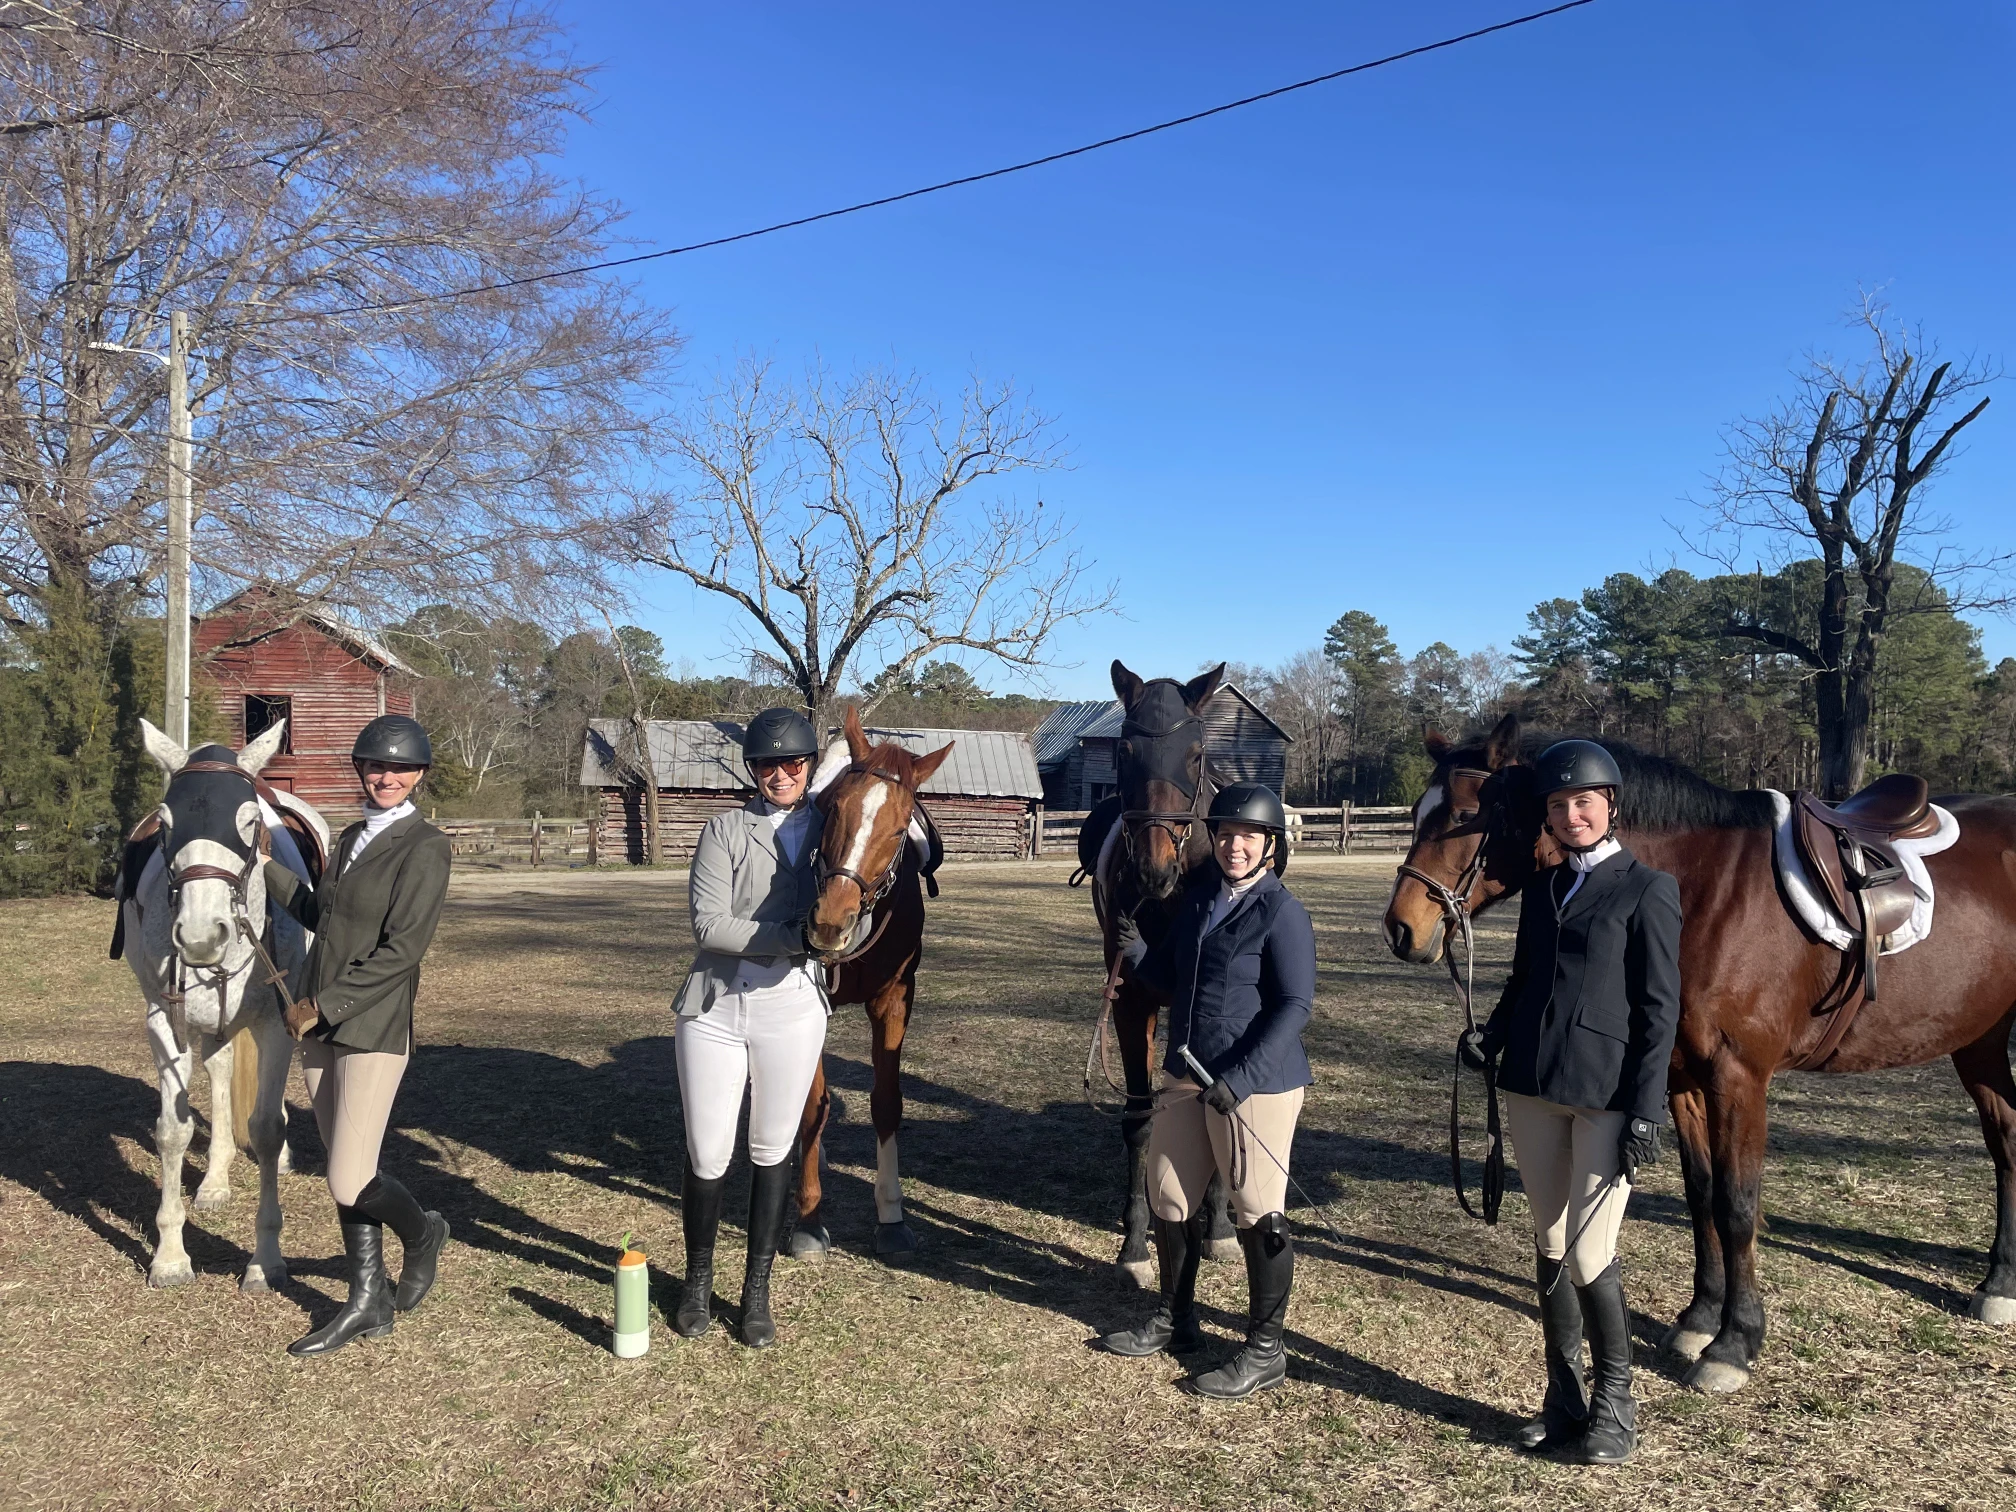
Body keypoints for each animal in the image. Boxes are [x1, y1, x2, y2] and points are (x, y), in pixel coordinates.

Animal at [114, 718, 330, 1290]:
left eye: (249, 820)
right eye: (166, 824)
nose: (199, 936)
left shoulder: (278, 1024)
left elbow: (268, 1128)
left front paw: (265, 1260)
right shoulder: (164, 1023)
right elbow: (173, 1132)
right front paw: (170, 1256)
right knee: (221, 1070)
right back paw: (214, 1181)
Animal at [789, 706, 953, 1261]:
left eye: (901, 827)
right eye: (833, 808)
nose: (828, 923)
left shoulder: (894, 1001)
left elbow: (887, 1103)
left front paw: (891, 1215)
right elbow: (812, 1107)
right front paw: (808, 1217)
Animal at [1384, 712, 2016, 1393]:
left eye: (1466, 815)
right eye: (1418, 813)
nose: (1400, 929)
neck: (1703, 890)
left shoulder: (1739, 1078)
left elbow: (1737, 1203)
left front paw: (1734, 1343)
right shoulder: (1680, 1076)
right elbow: (1701, 1193)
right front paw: (1698, 1319)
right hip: (1978, 1040)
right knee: (2006, 1138)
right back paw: (2000, 1282)